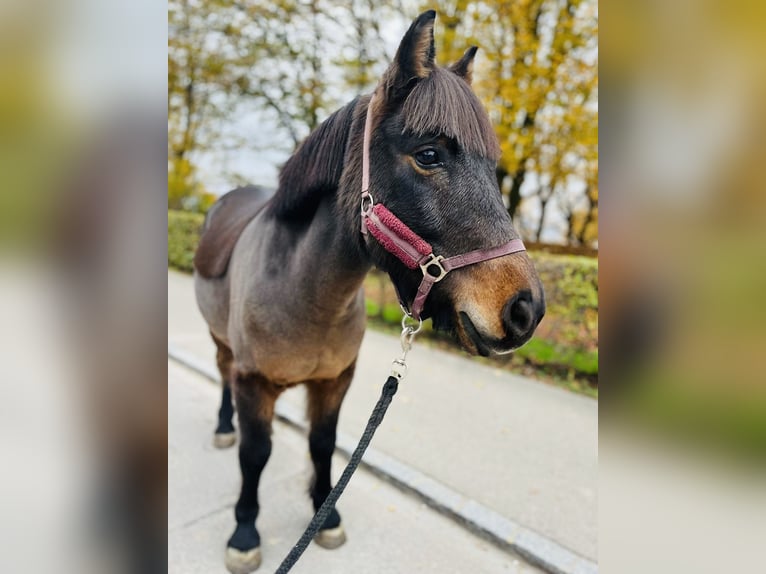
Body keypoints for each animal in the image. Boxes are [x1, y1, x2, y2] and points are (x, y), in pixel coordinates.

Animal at [195, 10, 548, 574]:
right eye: (429, 154)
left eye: (492, 167)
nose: (525, 309)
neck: (305, 296)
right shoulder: (255, 384)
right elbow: (256, 455)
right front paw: (245, 533)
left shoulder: (336, 380)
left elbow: (323, 445)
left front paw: (325, 516)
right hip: (222, 344)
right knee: (223, 373)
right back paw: (224, 427)